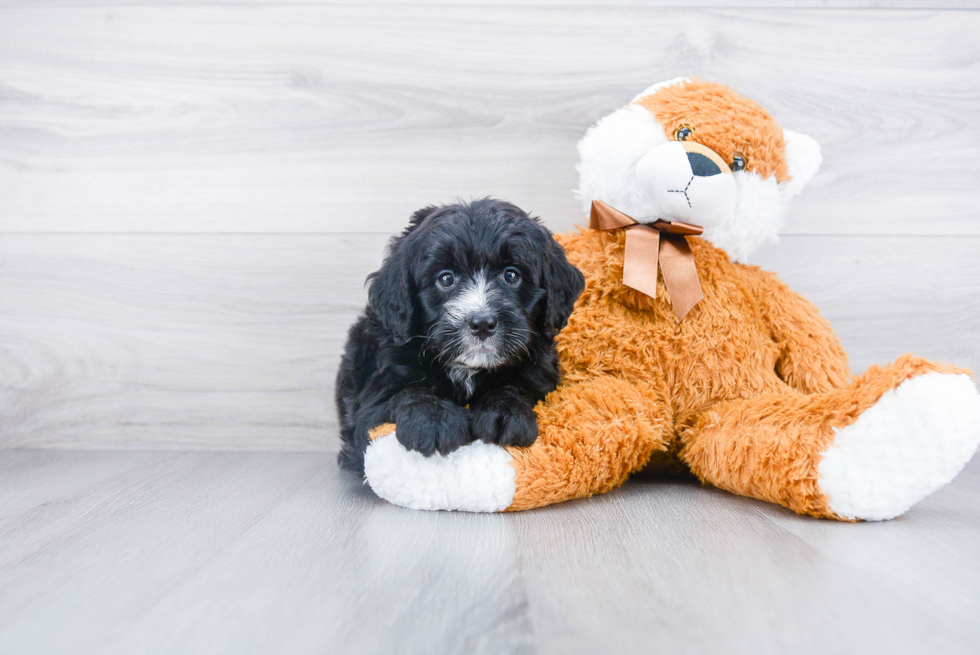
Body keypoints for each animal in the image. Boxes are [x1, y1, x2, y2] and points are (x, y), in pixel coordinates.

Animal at [334, 197, 584, 474]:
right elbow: (406, 392)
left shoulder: (541, 376)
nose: (483, 323)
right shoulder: (373, 399)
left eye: (511, 275)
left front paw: (506, 413)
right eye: (446, 279)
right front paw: (434, 419)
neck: (467, 369)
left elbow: (516, 387)